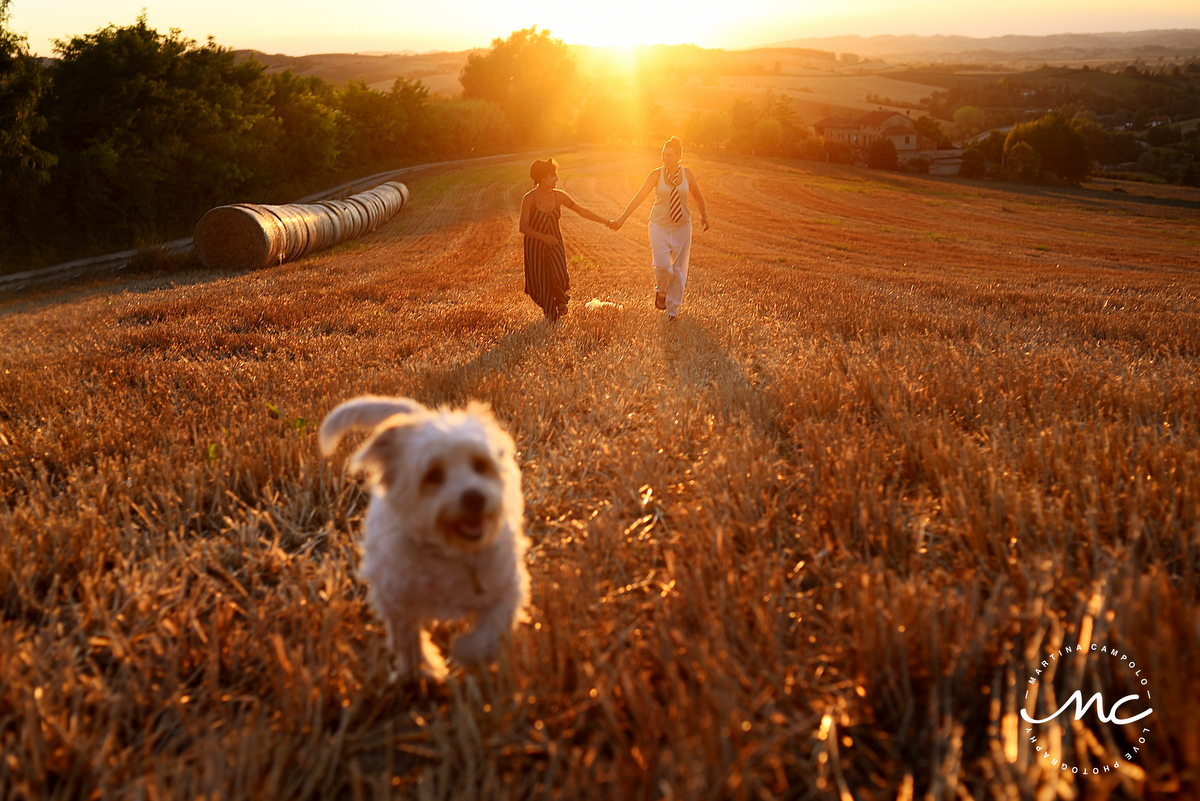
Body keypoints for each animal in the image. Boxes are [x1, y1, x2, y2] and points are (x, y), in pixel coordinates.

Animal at [319, 398, 530, 681]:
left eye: (480, 464)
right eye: (433, 475)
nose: (475, 498)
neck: (449, 553)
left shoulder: (506, 588)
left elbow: (489, 633)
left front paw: (465, 652)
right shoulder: (397, 599)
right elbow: (408, 640)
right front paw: (424, 669)